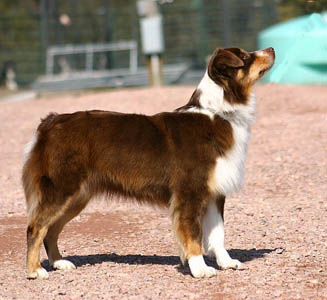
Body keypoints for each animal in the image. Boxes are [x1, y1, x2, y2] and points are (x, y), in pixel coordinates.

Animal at [21, 46, 276, 278]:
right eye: (245, 56)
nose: (272, 49)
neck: (218, 113)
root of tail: (51, 122)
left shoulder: (214, 193)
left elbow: (218, 234)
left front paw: (226, 262)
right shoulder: (189, 193)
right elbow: (193, 235)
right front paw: (200, 268)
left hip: (78, 196)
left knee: (51, 230)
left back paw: (59, 263)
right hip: (61, 189)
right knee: (36, 227)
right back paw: (35, 270)